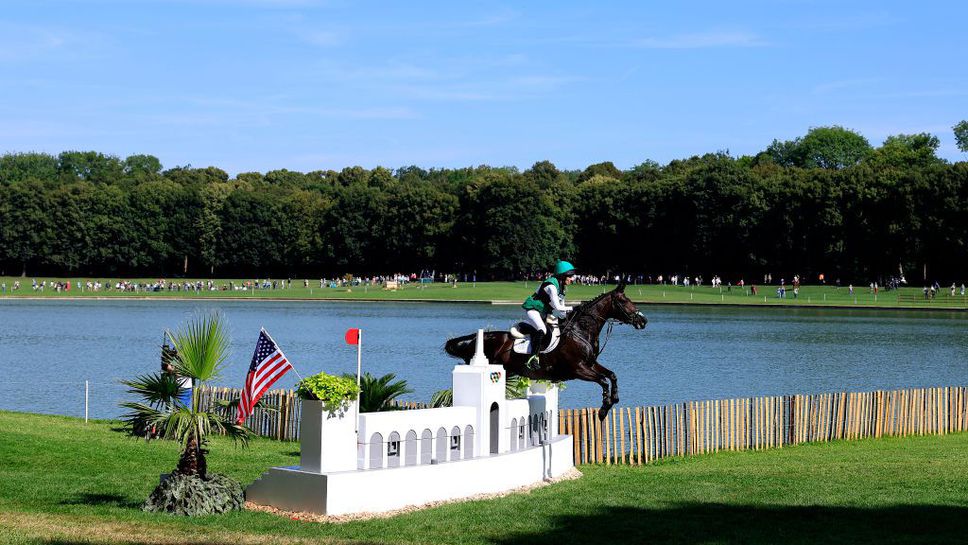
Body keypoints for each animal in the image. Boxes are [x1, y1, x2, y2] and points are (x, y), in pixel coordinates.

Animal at [442, 278, 648, 418]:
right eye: (624, 301)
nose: (643, 320)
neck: (581, 330)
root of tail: (483, 336)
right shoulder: (578, 369)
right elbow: (603, 380)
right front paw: (604, 409)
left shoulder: (590, 364)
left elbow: (612, 375)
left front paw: (615, 399)